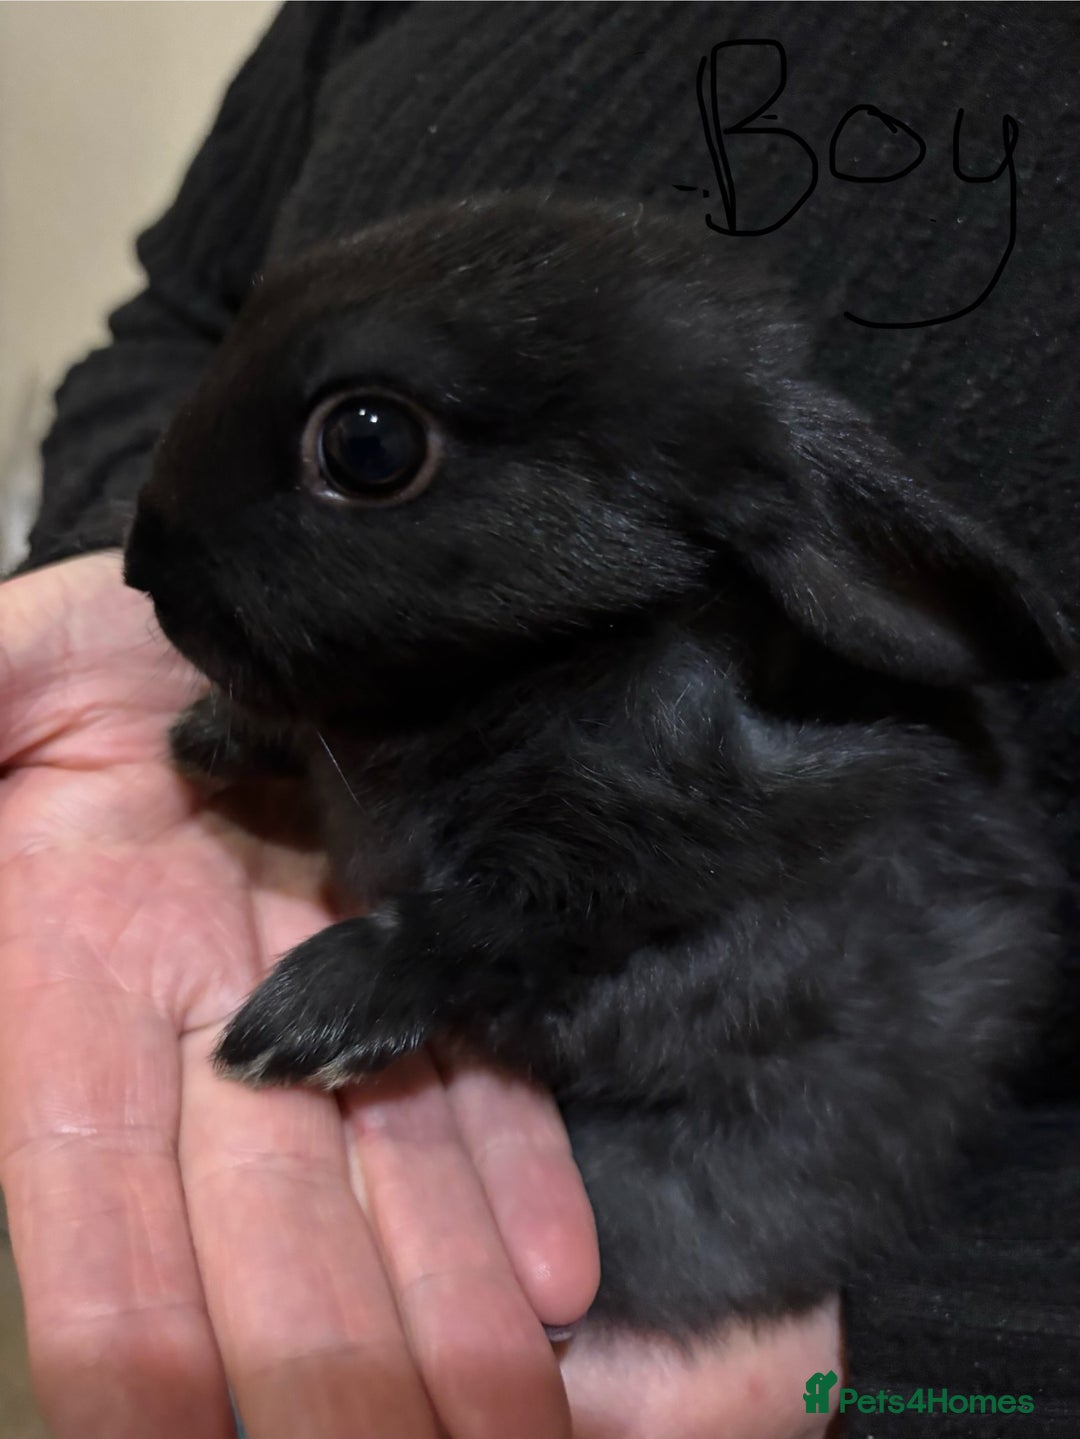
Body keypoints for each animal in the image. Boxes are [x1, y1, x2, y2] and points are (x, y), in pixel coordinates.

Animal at [123, 192, 1074, 1340]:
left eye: (368, 443)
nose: (142, 567)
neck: (535, 664)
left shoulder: (624, 846)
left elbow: (470, 925)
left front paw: (297, 1025)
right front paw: (205, 734)